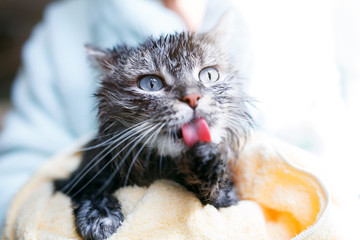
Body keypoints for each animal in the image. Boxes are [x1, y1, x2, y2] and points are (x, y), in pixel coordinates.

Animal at [54, 16, 255, 240]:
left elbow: (219, 194)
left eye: (209, 75)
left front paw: (205, 162)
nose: (192, 97)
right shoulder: (74, 178)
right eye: (151, 84)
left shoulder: (230, 201)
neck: (163, 169)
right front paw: (101, 217)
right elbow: (93, 189)